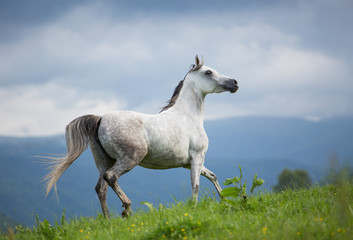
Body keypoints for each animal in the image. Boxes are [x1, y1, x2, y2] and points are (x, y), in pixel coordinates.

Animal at [43, 55, 236, 218]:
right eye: (208, 72)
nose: (234, 83)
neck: (188, 116)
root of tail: (100, 119)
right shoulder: (197, 157)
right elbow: (195, 186)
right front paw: (194, 209)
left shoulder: (188, 163)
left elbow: (212, 176)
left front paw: (225, 200)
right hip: (129, 159)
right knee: (111, 178)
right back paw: (127, 209)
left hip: (104, 162)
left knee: (101, 188)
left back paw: (108, 220)